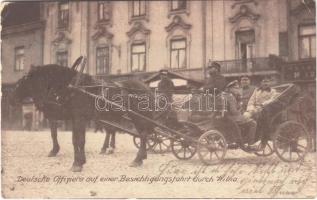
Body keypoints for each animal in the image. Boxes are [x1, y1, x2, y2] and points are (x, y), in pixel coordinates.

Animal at [11, 64, 155, 172]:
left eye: (24, 79)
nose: (13, 97)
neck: (71, 87)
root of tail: (146, 87)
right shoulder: (76, 118)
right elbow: (77, 140)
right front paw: (80, 161)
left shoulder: (78, 118)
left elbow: (77, 140)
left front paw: (76, 164)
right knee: (141, 134)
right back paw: (139, 157)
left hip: (138, 117)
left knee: (142, 135)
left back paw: (137, 158)